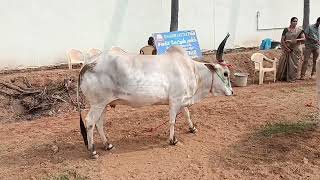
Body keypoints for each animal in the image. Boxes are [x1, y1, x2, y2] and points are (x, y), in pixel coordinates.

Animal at [77, 33, 232, 158]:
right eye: (225, 73)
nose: (231, 92)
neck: (193, 70)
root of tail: (88, 64)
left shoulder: (182, 99)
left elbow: (187, 113)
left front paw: (192, 128)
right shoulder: (175, 100)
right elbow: (172, 120)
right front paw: (173, 140)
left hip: (104, 104)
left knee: (99, 123)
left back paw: (107, 144)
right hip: (97, 104)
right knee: (90, 122)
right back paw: (93, 151)